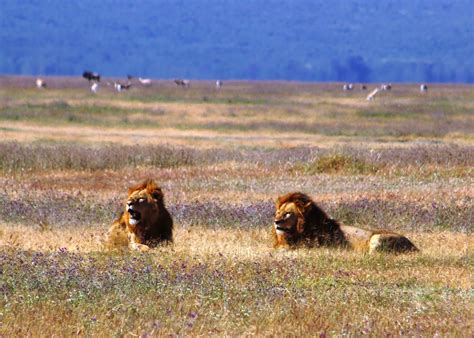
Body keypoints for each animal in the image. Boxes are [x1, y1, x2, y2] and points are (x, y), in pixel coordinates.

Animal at [272, 191, 416, 252]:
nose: (276, 222)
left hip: (377, 237)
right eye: (278, 213)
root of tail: (414, 246)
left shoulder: (313, 246)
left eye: (287, 214)